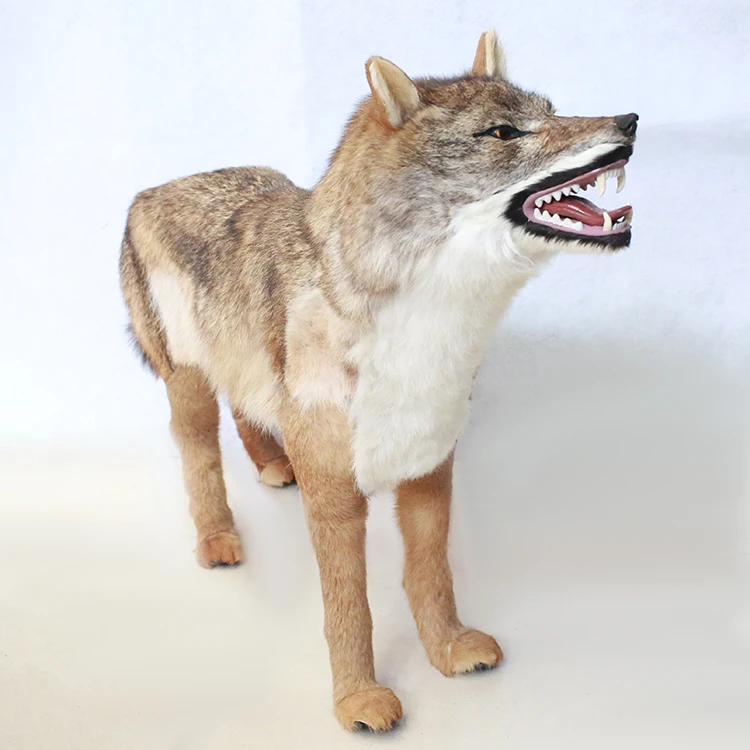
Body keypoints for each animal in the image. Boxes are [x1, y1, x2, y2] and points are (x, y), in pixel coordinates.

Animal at [119, 29, 638, 731]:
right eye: (503, 133)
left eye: (552, 110)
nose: (630, 121)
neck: (430, 335)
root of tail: (152, 189)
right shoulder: (337, 497)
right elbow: (349, 609)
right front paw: (358, 700)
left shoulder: (431, 467)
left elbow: (431, 577)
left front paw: (450, 649)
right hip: (188, 384)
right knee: (198, 448)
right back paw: (217, 538)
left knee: (248, 408)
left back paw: (273, 465)